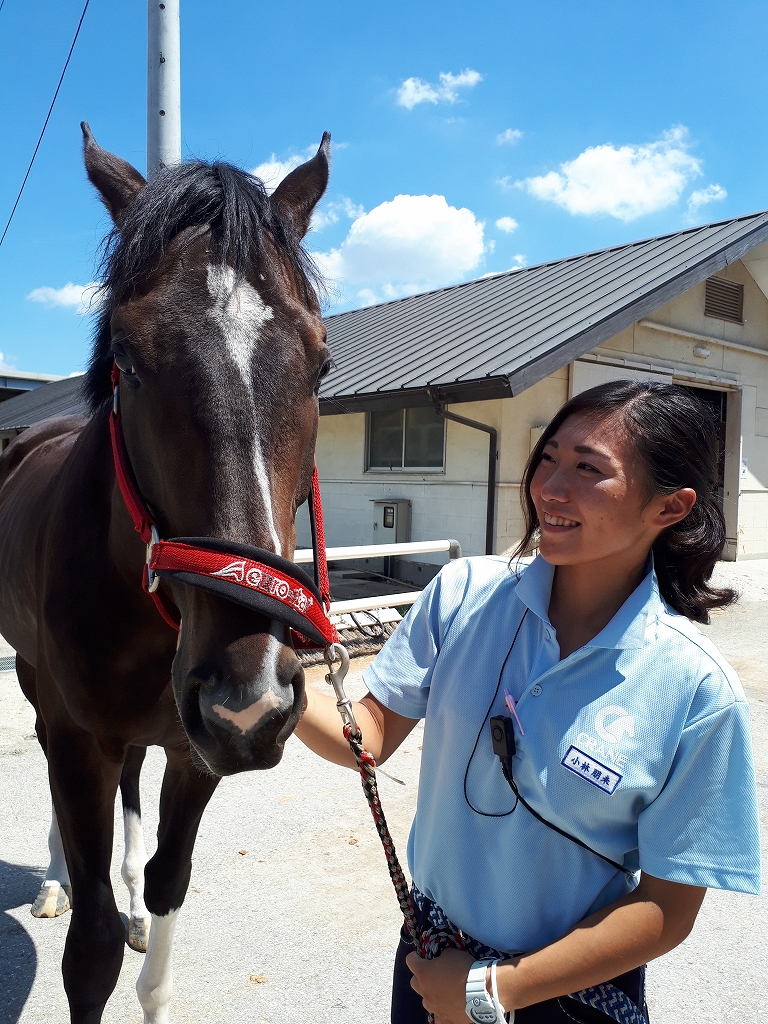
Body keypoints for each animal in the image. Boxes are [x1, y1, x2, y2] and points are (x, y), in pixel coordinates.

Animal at [1, 123, 335, 1019]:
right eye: (128, 354)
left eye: (320, 364)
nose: (248, 697)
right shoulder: (79, 738)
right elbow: (88, 957)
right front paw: (81, 901)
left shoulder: (196, 754)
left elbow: (166, 884)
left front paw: (143, 915)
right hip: (39, 689)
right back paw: (54, 880)